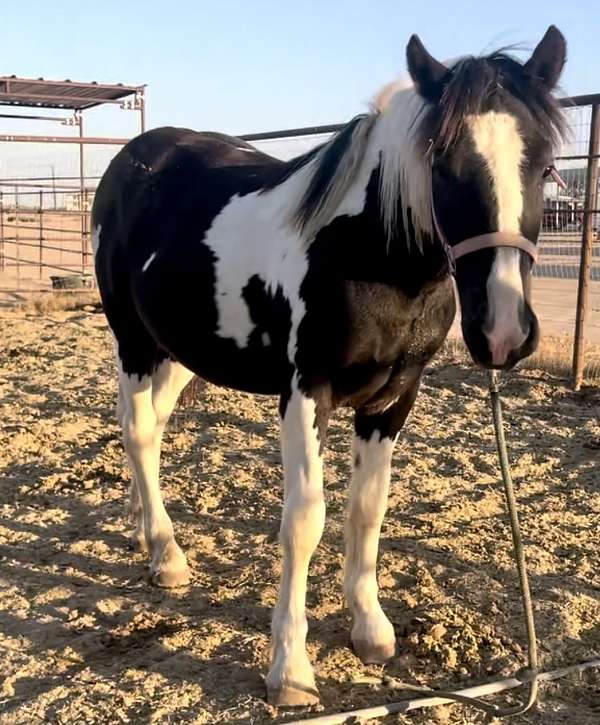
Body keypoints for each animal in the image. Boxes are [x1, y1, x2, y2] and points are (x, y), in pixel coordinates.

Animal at [94, 29, 568, 708]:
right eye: (443, 165)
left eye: (544, 165)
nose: (503, 332)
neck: (366, 253)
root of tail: (136, 157)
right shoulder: (305, 393)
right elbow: (305, 521)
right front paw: (290, 671)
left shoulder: (394, 398)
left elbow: (367, 508)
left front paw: (370, 629)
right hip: (133, 339)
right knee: (136, 432)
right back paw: (165, 554)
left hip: (181, 350)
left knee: (152, 432)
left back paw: (143, 530)